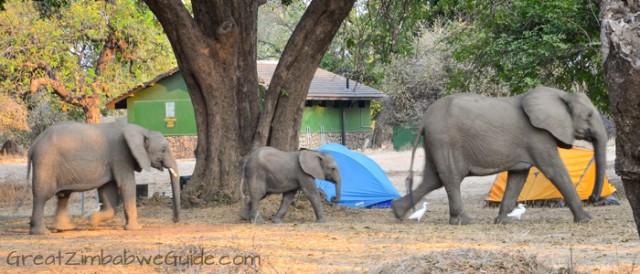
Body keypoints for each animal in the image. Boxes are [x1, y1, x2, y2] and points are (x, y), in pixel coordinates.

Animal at [27, 121, 180, 234]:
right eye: (163, 150)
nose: (174, 221)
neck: (143, 130)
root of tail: (33, 145)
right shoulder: (120, 155)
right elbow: (127, 184)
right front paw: (135, 228)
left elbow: (108, 189)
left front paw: (92, 222)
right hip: (46, 162)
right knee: (42, 195)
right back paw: (42, 232)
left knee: (64, 195)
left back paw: (64, 229)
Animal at [392, 85, 608, 225]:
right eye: (589, 115)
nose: (594, 198)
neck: (561, 94)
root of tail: (424, 120)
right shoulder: (538, 136)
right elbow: (555, 171)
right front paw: (586, 220)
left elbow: (518, 177)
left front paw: (503, 221)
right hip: (445, 140)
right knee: (451, 178)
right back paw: (463, 221)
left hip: (434, 142)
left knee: (432, 179)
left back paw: (397, 212)